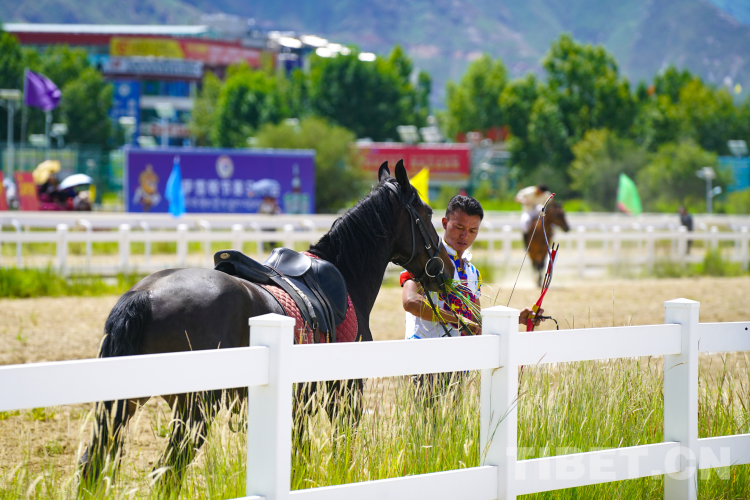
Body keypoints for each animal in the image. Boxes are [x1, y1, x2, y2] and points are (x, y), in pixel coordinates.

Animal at [80, 161, 455, 488]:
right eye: (426, 212)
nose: (448, 267)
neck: (345, 275)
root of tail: (146, 294)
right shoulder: (344, 389)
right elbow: (342, 442)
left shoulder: (298, 398)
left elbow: (298, 448)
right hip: (194, 411)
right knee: (166, 471)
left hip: (126, 405)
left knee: (94, 462)